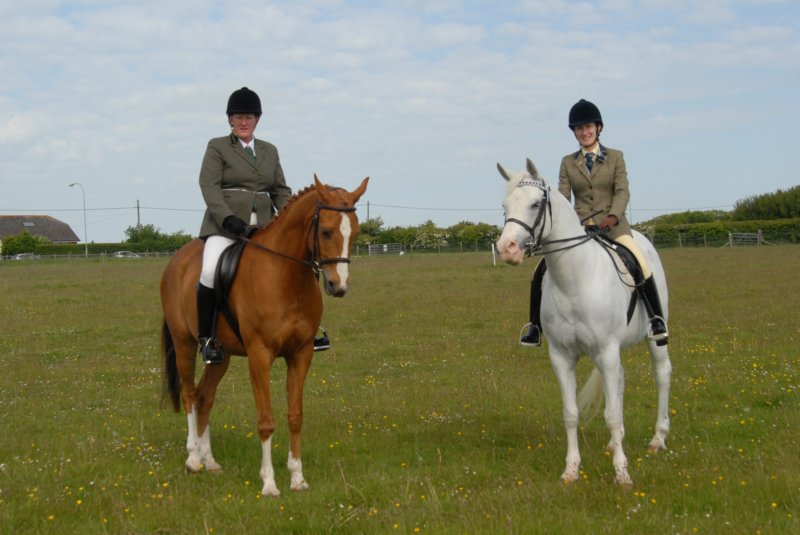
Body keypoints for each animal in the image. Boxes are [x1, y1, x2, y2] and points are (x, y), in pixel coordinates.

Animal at [160, 177, 372, 498]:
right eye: (325, 231)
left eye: (356, 232)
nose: (339, 286)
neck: (286, 276)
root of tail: (176, 261)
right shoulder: (260, 355)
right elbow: (266, 420)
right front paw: (269, 483)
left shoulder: (301, 354)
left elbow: (295, 415)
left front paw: (297, 478)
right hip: (184, 342)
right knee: (189, 396)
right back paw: (193, 459)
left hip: (220, 355)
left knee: (205, 396)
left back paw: (210, 461)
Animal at [496, 159, 672, 490]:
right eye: (505, 206)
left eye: (536, 203)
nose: (507, 248)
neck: (575, 279)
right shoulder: (561, 356)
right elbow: (571, 413)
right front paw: (571, 470)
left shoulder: (606, 351)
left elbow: (611, 414)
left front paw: (622, 473)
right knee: (620, 381)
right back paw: (616, 443)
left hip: (655, 338)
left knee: (662, 374)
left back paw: (658, 439)